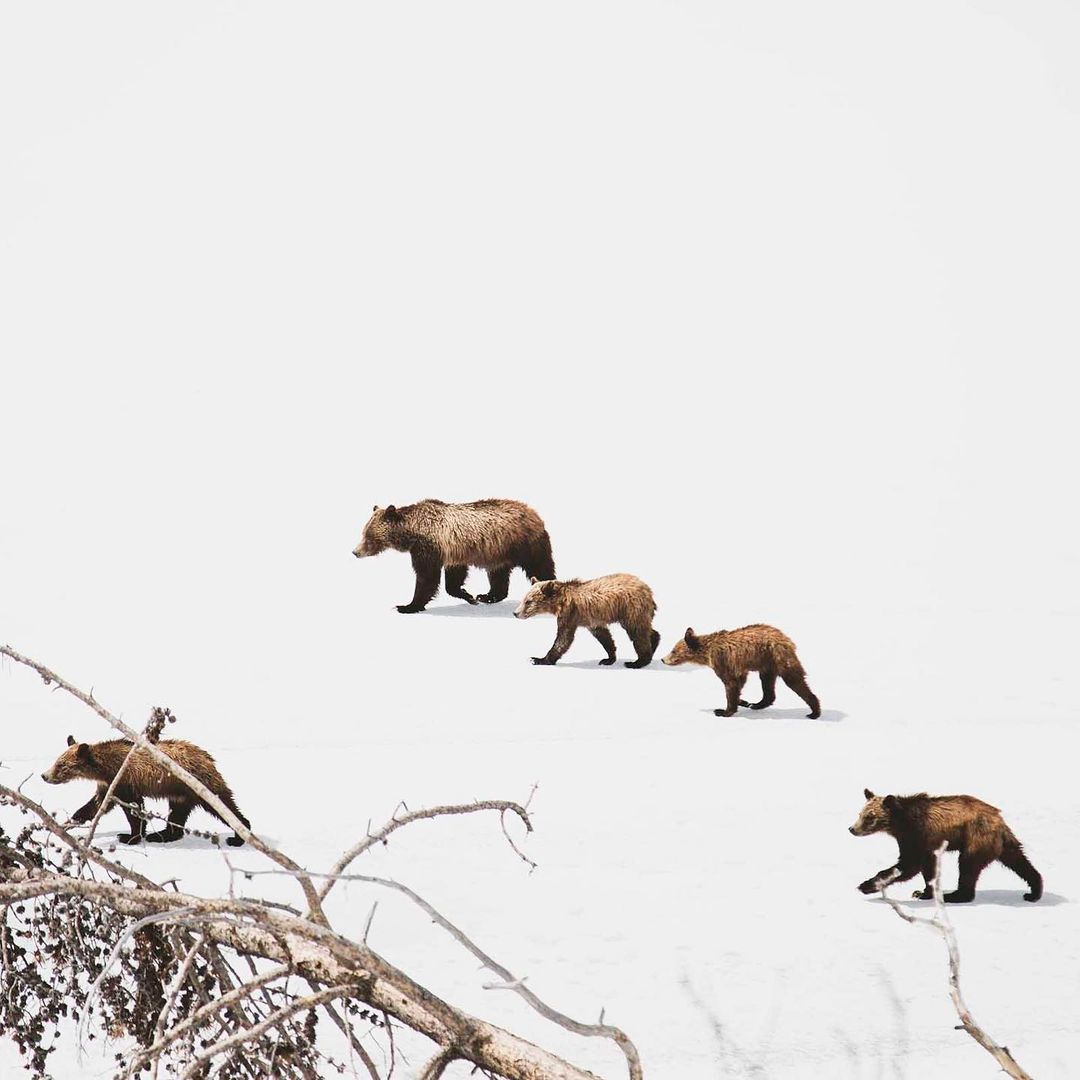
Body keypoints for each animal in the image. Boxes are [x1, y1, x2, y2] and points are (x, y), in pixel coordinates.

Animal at [41, 738, 251, 846]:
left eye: (61, 765)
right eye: (56, 761)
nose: (45, 775)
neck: (104, 769)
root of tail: (208, 758)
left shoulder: (125, 781)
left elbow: (133, 809)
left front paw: (129, 836)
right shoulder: (108, 785)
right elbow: (96, 805)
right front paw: (69, 821)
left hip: (198, 784)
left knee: (223, 805)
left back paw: (238, 835)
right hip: (180, 794)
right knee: (178, 814)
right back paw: (163, 834)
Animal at [354, 498, 557, 613]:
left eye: (368, 536)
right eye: (363, 533)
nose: (355, 552)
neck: (413, 532)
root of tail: (534, 512)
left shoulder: (429, 548)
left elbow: (426, 578)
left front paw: (407, 606)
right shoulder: (453, 552)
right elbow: (452, 579)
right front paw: (469, 596)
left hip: (525, 544)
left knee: (541, 566)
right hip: (497, 552)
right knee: (498, 574)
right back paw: (488, 596)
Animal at [511, 574, 656, 665]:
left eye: (528, 601)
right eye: (524, 599)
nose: (515, 613)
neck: (558, 603)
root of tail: (647, 589)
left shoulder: (569, 614)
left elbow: (563, 638)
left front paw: (538, 659)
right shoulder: (592, 619)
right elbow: (604, 636)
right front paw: (608, 658)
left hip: (631, 608)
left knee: (637, 632)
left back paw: (638, 661)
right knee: (647, 629)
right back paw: (653, 645)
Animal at [656, 626, 816, 717]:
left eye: (673, 650)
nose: (663, 659)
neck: (707, 653)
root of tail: (786, 639)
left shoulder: (722, 660)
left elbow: (730, 683)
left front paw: (723, 711)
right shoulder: (739, 667)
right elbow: (739, 682)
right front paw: (742, 701)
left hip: (777, 657)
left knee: (794, 680)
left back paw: (814, 711)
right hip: (767, 663)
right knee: (767, 683)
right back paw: (757, 704)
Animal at [846, 786, 1041, 902]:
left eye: (869, 817)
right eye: (860, 813)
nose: (852, 829)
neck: (901, 823)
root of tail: (999, 820)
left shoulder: (916, 835)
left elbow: (908, 865)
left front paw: (866, 885)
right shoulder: (925, 843)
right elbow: (927, 868)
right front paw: (923, 892)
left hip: (976, 838)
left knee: (968, 866)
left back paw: (955, 895)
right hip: (1001, 843)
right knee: (1019, 861)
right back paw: (1034, 891)